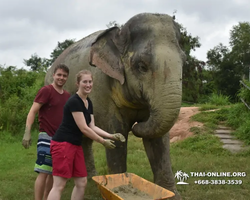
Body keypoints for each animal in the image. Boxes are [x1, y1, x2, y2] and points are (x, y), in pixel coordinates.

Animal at [45, 12, 186, 200]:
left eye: (184, 61)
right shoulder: (104, 93)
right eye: (141, 66)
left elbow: (158, 140)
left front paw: (170, 194)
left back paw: (89, 178)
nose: (137, 126)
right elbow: (117, 137)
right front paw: (115, 187)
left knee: (84, 140)